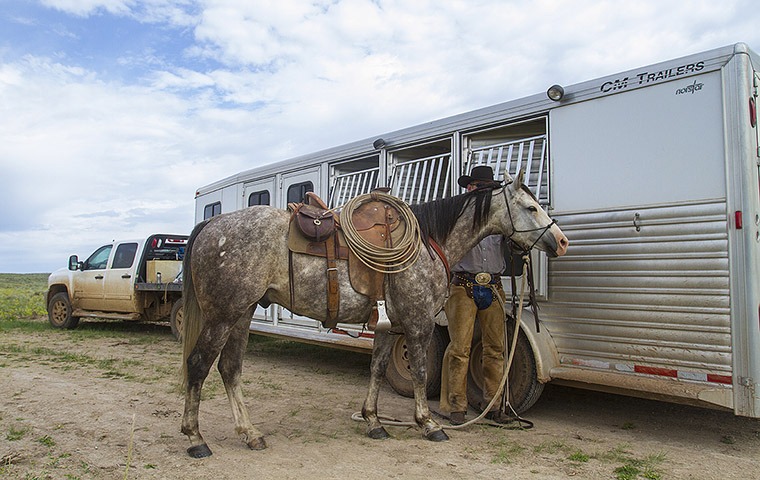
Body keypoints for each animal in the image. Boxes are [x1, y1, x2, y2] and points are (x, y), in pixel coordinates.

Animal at [180, 169, 568, 457]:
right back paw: (196, 439)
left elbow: (378, 369)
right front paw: (429, 424)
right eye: (530, 207)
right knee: (199, 364)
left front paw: (374, 422)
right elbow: (420, 371)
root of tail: (211, 226)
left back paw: (250, 433)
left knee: (230, 369)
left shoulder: (388, 326)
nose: (562, 242)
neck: (428, 243)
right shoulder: (418, 322)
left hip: (241, 313)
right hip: (223, 315)